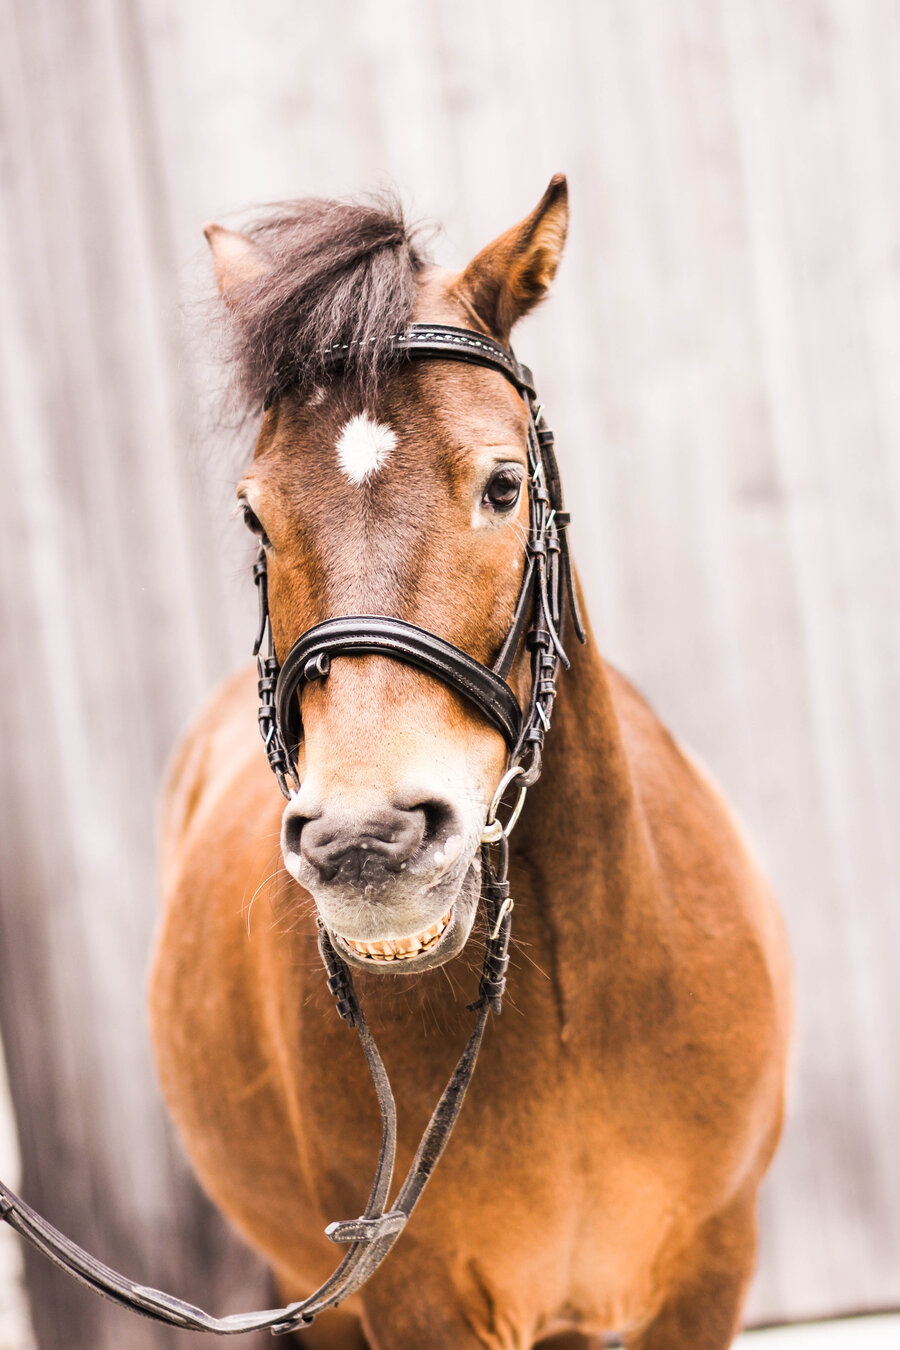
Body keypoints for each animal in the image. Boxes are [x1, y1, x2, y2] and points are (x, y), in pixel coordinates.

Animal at [149, 177, 792, 1350]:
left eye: (501, 486)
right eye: (254, 512)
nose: (368, 842)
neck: (575, 995)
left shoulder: (709, 1270)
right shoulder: (414, 1302)